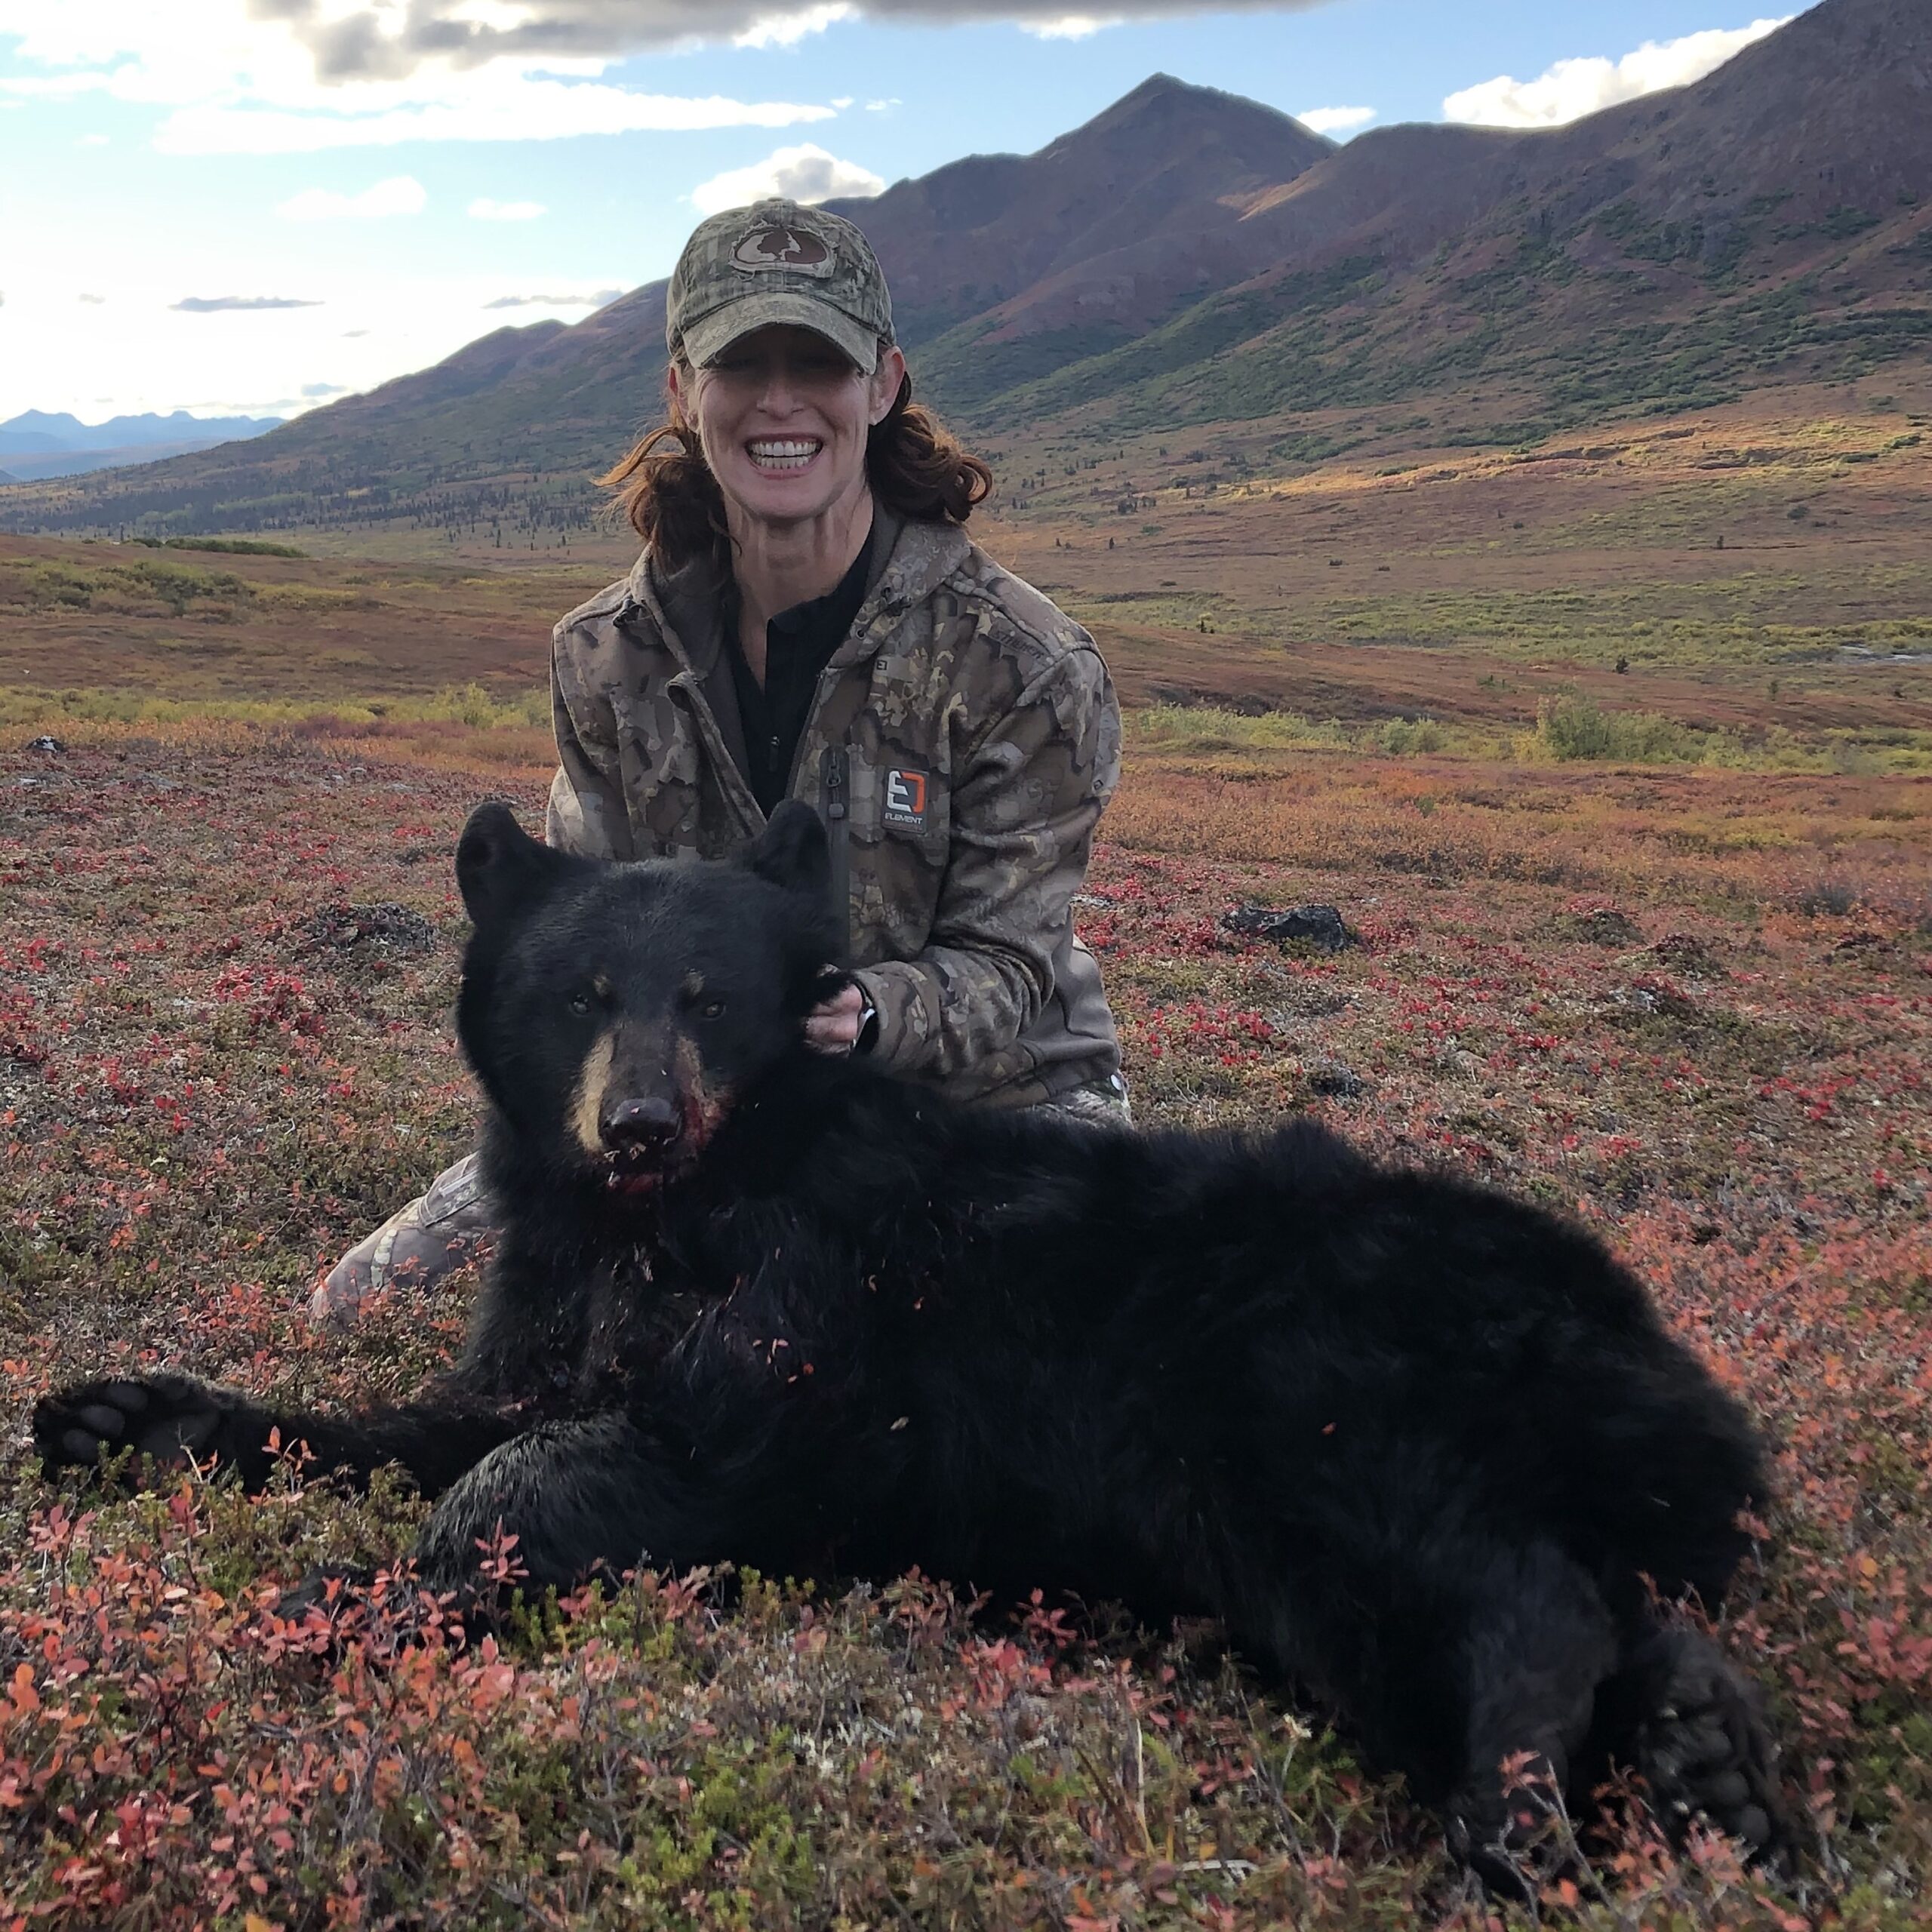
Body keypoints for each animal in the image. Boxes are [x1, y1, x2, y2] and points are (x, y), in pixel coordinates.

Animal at [36, 799, 1786, 1882]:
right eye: (580, 990)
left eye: (712, 993)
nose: (636, 1124)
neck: (667, 1222)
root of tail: (1655, 1348)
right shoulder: (557, 1312)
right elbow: (433, 1418)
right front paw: (131, 1415)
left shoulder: (815, 1346)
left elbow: (601, 1466)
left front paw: (351, 1597)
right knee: (1593, 1600)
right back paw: (1701, 1753)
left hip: (1306, 1383)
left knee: (1504, 1591)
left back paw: (1512, 1835)